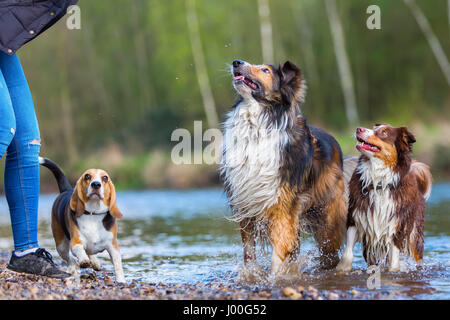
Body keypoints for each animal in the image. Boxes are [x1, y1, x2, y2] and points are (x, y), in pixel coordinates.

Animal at [220, 59, 350, 272]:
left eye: (265, 70)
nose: (236, 62)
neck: (257, 125)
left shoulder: (281, 207)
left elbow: (278, 254)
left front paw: (277, 276)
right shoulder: (247, 207)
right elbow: (249, 256)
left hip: (327, 219)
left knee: (329, 253)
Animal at [338, 125, 432, 272]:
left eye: (384, 132)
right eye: (373, 127)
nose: (359, 129)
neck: (380, 184)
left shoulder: (397, 228)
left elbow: (394, 264)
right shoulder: (355, 218)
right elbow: (347, 254)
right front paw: (342, 269)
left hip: (414, 236)